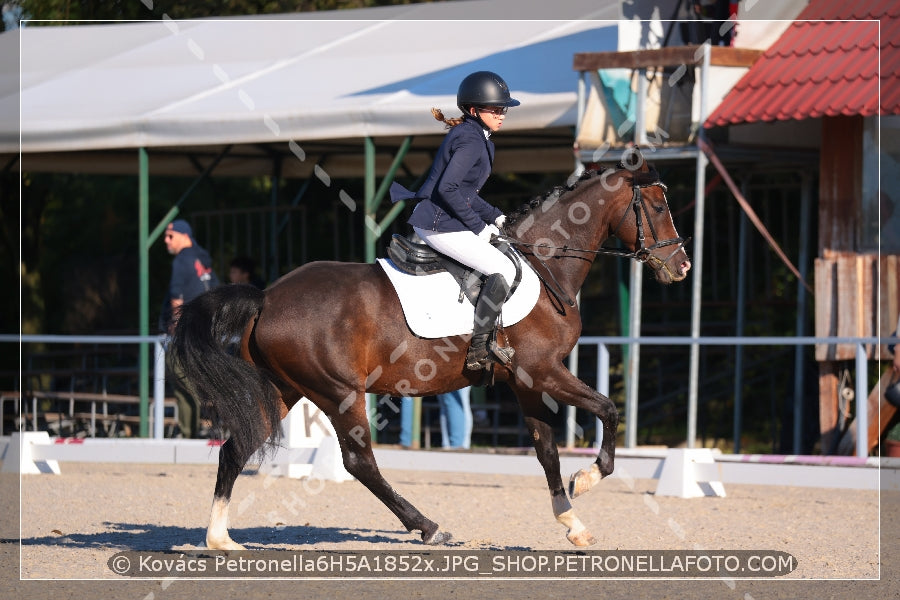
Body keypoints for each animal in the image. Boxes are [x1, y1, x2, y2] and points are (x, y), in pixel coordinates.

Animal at [169, 148, 688, 552]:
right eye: (658, 205)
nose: (681, 266)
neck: (544, 264)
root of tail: (266, 296)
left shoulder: (525, 382)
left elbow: (547, 452)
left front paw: (572, 523)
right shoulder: (543, 371)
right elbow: (608, 409)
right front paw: (589, 478)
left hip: (285, 390)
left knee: (237, 448)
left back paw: (219, 539)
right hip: (338, 393)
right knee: (358, 462)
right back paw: (429, 528)